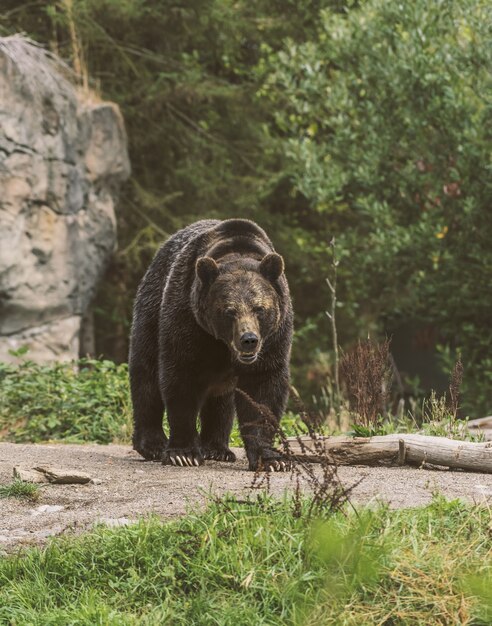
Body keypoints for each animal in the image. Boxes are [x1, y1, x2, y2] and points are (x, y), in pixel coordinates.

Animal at [129, 218, 294, 468]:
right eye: (229, 311)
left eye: (259, 308)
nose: (249, 340)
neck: (222, 344)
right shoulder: (187, 318)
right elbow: (180, 378)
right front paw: (183, 454)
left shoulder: (274, 338)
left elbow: (262, 389)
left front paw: (271, 459)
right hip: (151, 309)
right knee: (146, 376)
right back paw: (153, 444)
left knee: (221, 400)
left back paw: (217, 449)